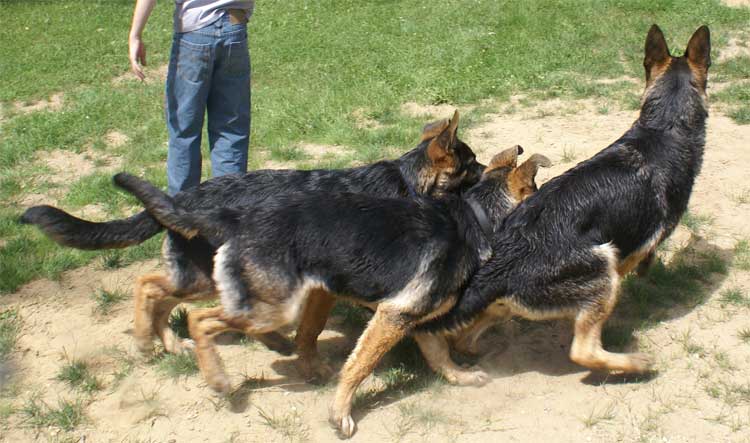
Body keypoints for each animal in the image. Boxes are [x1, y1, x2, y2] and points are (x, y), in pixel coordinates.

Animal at [23, 111, 484, 360]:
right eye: (472, 163)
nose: (494, 166)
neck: (407, 181)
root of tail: (183, 197)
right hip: (211, 277)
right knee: (150, 288)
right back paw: (150, 339)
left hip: (202, 277)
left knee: (159, 289)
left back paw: (171, 341)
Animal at [110, 147, 548, 438]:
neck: (476, 216)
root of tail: (235, 216)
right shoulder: (393, 315)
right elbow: (359, 366)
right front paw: (339, 414)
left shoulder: (412, 315)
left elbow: (438, 354)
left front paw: (460, 377)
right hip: (271, 306)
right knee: (197, 317)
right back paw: (212, 374)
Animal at [420, 25, 712, 378]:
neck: (664, 127)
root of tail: (503, 265)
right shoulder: (643, 243)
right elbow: (646, 257)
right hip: (604, 268)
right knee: (583, 352)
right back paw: (635, 363)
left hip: (504, 307)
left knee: (464, 339)